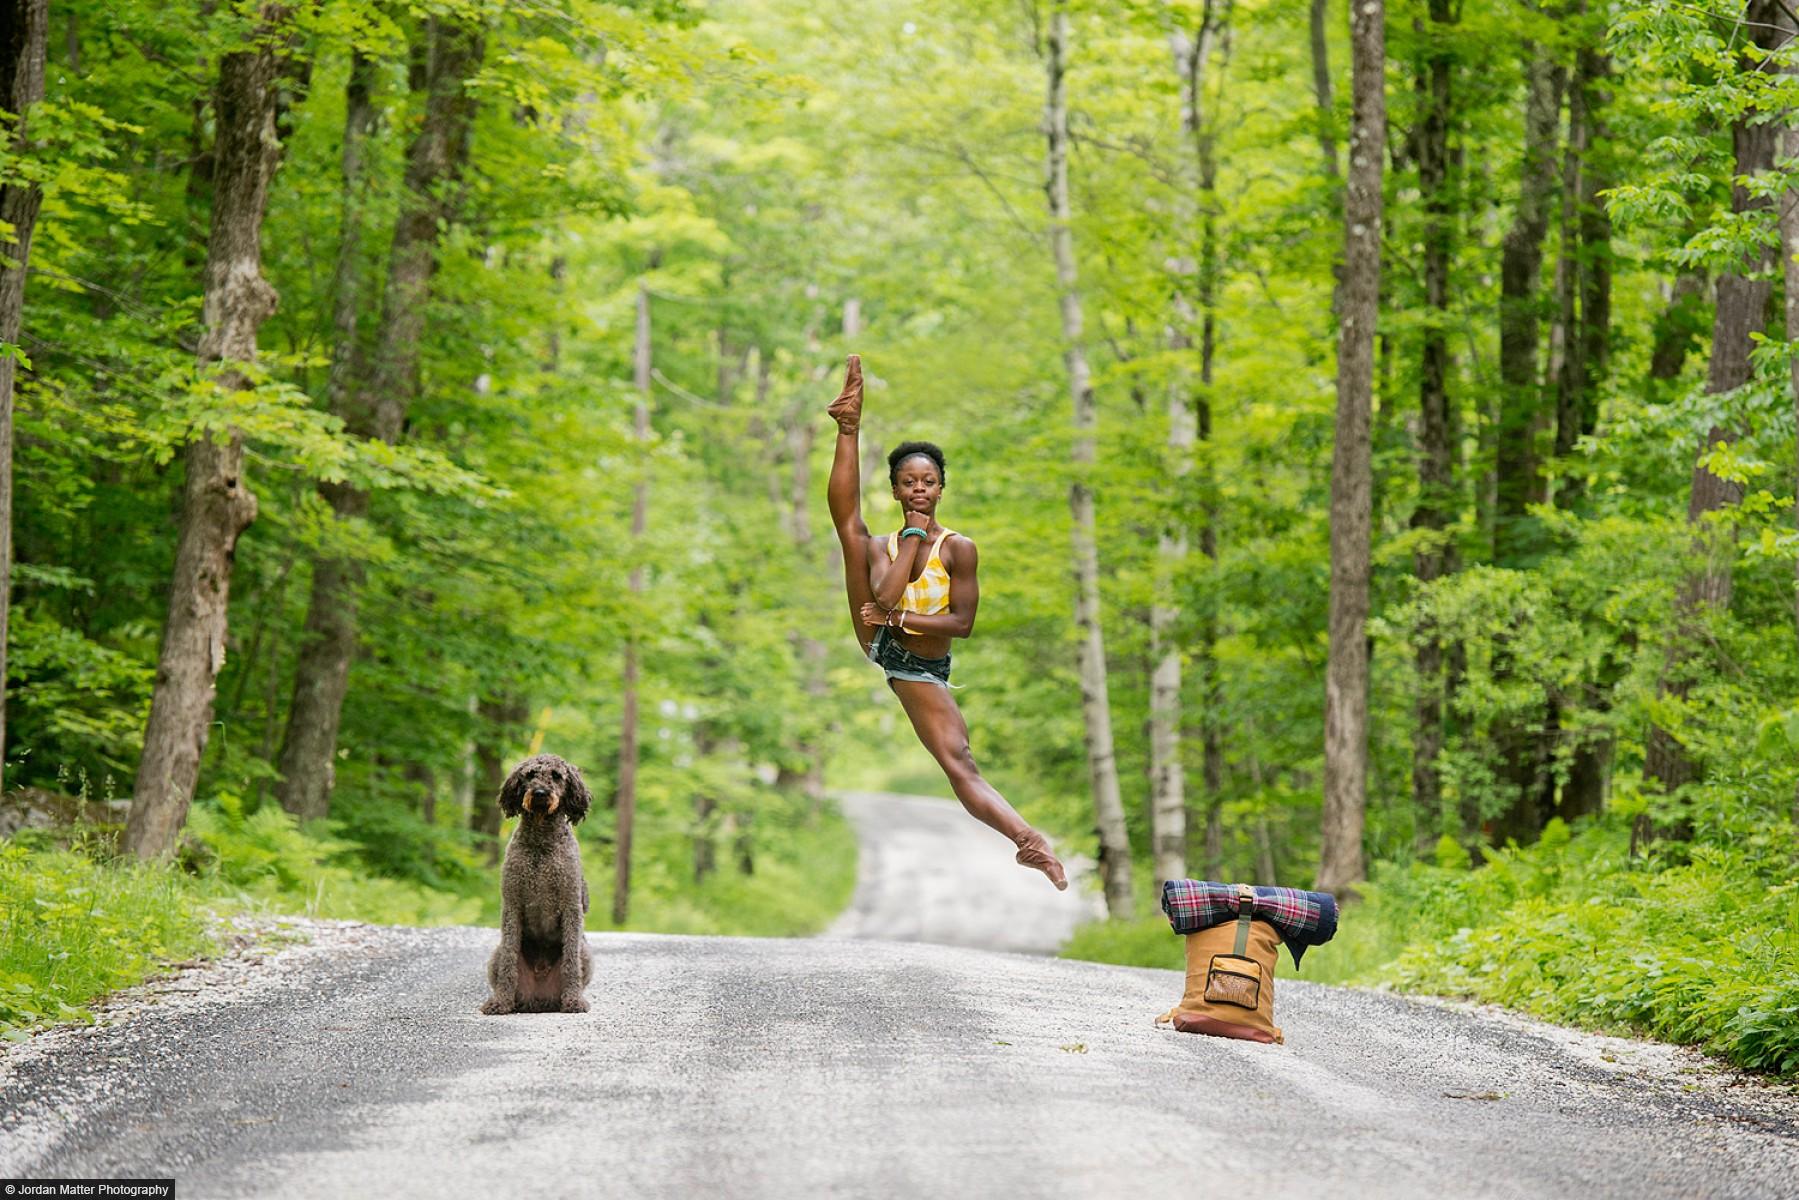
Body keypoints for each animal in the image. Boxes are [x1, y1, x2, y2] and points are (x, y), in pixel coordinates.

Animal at [482, 755, 593, 1021]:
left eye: (556, 776)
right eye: (530, 774)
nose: (540, 793)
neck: (542, 844)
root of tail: (539, 1000)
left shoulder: (571, 907)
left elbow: (570, 963)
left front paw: (574, 1001)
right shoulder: (511, 906)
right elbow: (509, 963)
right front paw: (500, 1002)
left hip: (586, 953)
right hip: (495, 955)